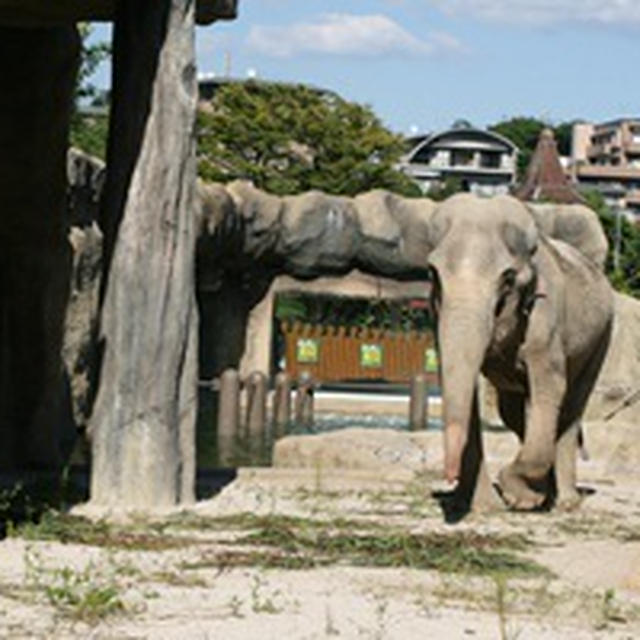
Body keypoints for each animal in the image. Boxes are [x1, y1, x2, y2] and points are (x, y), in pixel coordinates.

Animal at [424, 192, 616, 512]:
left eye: (508, 278)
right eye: (432, 273)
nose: (448, 477)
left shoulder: (545, 322)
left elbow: (551, 387)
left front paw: (520, 498)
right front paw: (482, 506)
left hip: (602, 337)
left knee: (571, 408)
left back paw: (565, 502)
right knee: (512, 411)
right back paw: (548, 494)